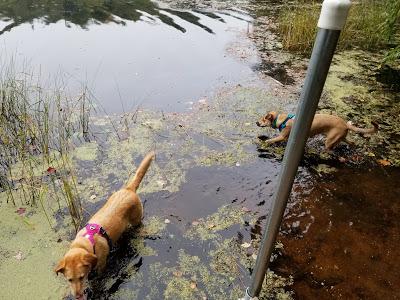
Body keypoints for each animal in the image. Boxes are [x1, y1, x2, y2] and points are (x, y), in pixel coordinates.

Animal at [55, 151, 155, 298]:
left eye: (81, 277)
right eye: (69, 280)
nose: (78, 296)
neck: (86, 242)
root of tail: (129, 189)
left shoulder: (101, 266)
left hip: (136, 220)